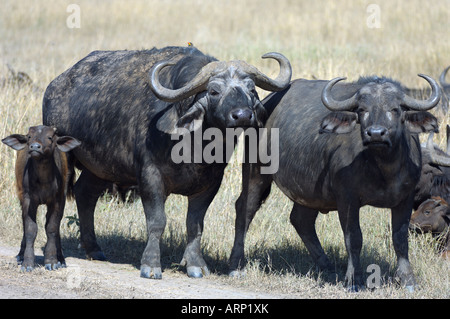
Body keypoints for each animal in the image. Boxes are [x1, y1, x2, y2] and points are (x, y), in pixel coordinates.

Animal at [1, 126, 80, 272]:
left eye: (50, 137)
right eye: (29, 137)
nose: (35, 147)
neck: (43, 179)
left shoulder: (57, 201)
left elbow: (52, 228)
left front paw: (52, 261)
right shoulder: (28, 200)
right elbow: (30, 229)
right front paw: (27, 263)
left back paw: (61, 258)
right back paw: (21, 255)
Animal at [43, 45, 292, 280]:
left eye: (251, 89)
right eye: (214, 91)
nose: (242, 116)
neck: (194, 145)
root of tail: (55, 86)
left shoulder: (211, 183)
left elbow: (195, 224)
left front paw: (195, 265)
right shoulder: (150, 177)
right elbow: (157, 222)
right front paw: (151, 265)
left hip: (101, 168)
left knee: (85, 194)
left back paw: (93, 249)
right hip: (65, 158)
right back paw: (56, 257)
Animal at [230, 74, 442, 292]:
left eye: (395, 109)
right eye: (362, 110)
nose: (376, 133)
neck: (383, 169)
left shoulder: (405, 199)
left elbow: (400, 239)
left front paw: (408, 280)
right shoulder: (347, 199)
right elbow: (354, 238)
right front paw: (354, 279)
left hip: (309, 193)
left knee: (301, 220)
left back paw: (327, 266)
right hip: (255, 171)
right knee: (245, 209)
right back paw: (236, 265)